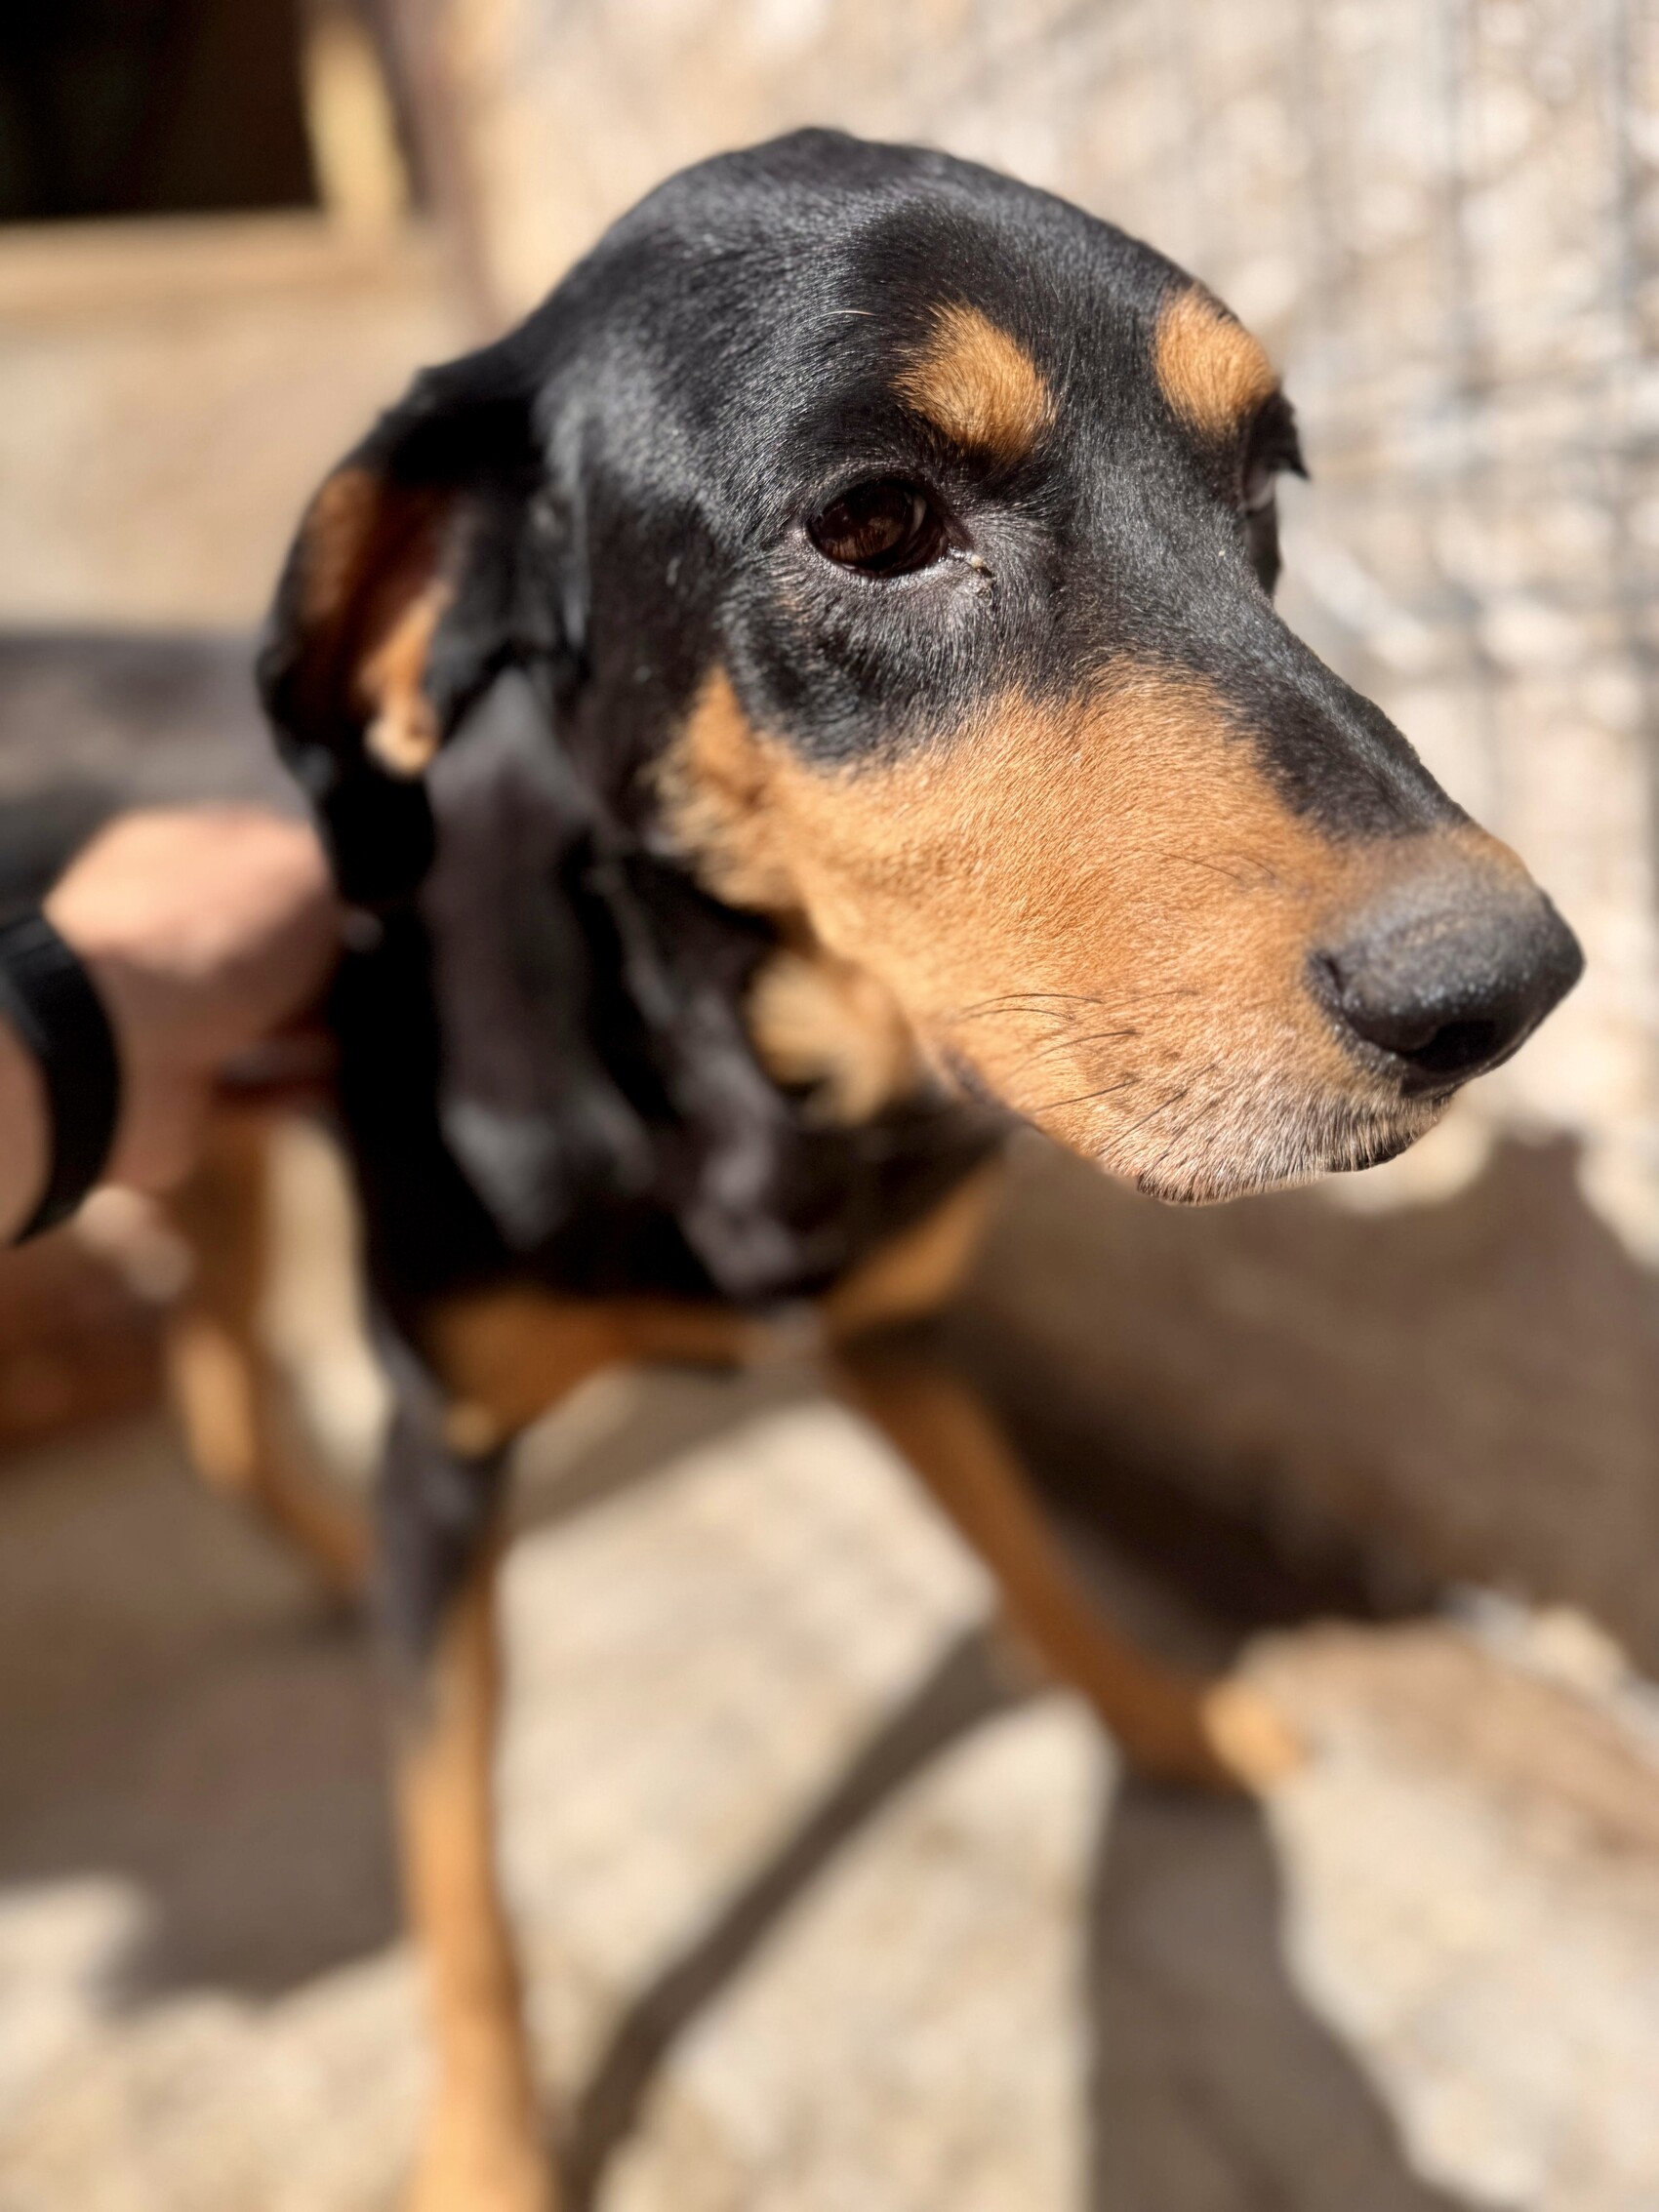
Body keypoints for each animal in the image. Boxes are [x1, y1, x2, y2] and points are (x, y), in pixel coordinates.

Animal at [163, 130, 1582, 2211]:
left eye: (1266, 491)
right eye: (881, 523)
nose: (1502, 986)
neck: (737, 1063)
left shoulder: (890, 1334)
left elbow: (1030, 1547)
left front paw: (1165, 1720)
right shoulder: (449, 1445)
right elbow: (455, 1874)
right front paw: (487, 2155)